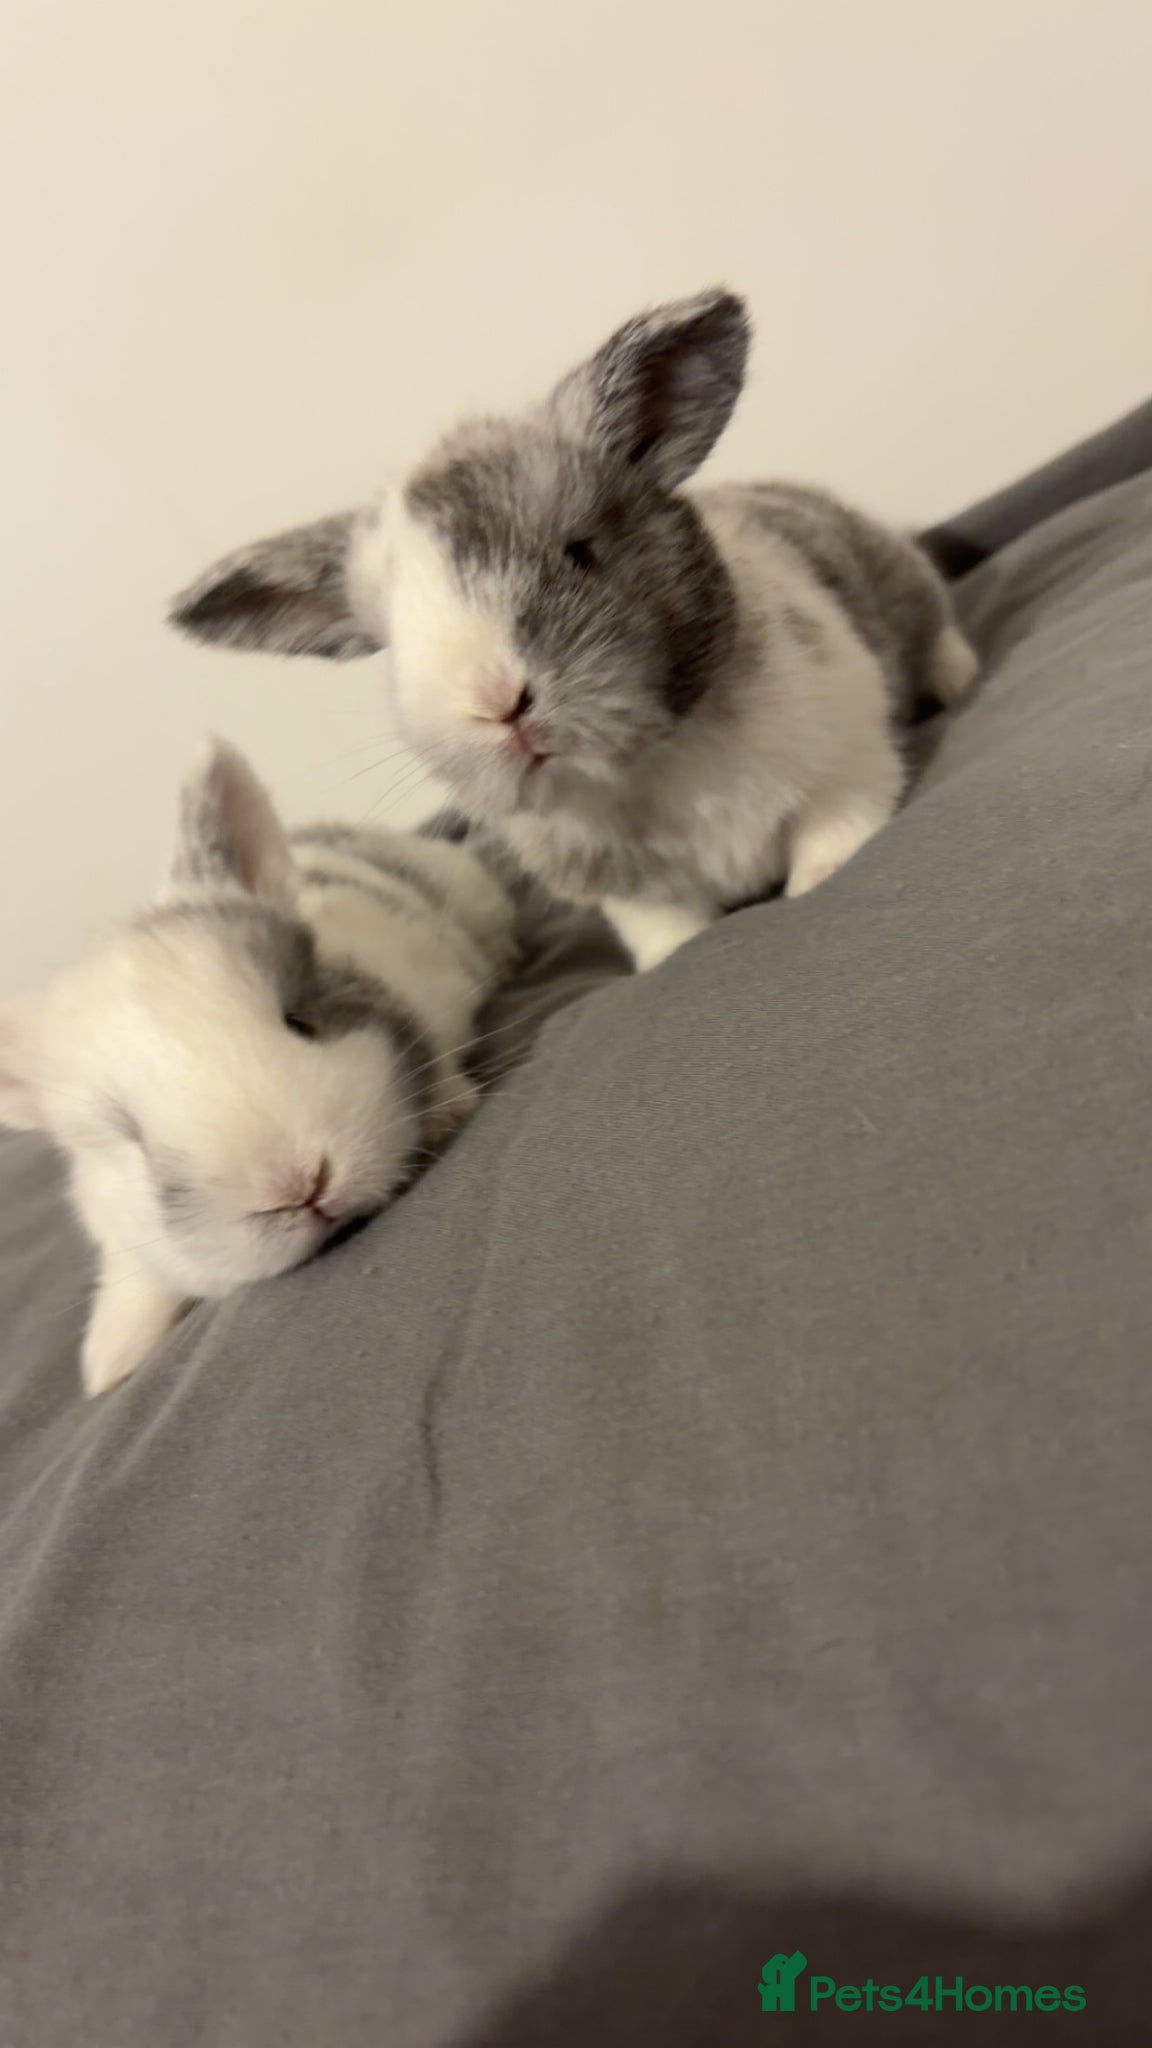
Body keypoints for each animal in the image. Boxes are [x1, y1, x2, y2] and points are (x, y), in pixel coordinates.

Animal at [0, 739, 517, 1396]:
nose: (300, 1186)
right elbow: (134, 1277)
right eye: (132, 1142)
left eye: (299, 1020)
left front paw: (446, 1111)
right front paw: (110, 1366)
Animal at [169, 288, 978, 971]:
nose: (498, 703)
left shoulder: (847, 750)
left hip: (899, 585)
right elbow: (665, 923)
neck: (644, 768)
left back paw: (956, 679)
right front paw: (673, 957)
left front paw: (820, 879)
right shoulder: (626, 889)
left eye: (579, 553)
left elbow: (836, 828)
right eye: (395, 643)